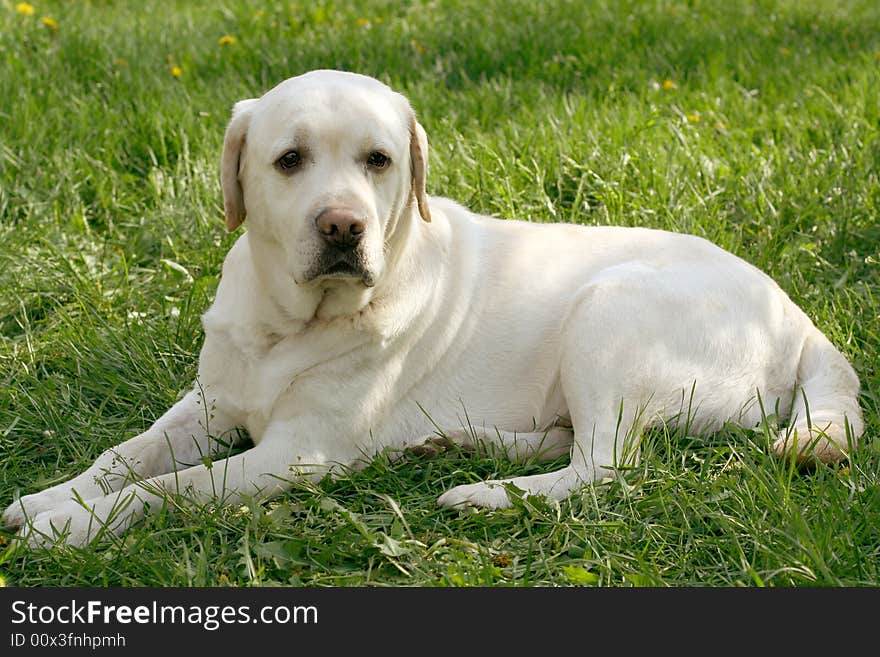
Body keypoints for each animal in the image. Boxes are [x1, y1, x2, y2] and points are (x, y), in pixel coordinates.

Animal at [3, 69, 864, 544]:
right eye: (289, 159)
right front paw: (46, 497)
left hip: (608, 309)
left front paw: (72, 524)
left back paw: (482, 494)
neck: (290, 324)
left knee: (604, 467)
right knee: (565, 440)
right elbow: (124, 455)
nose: (342, 226)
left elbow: (167, 488)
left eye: (378, 160)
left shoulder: (295, 453)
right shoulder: (209, 402)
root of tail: (798, 317)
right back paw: (453, 444)